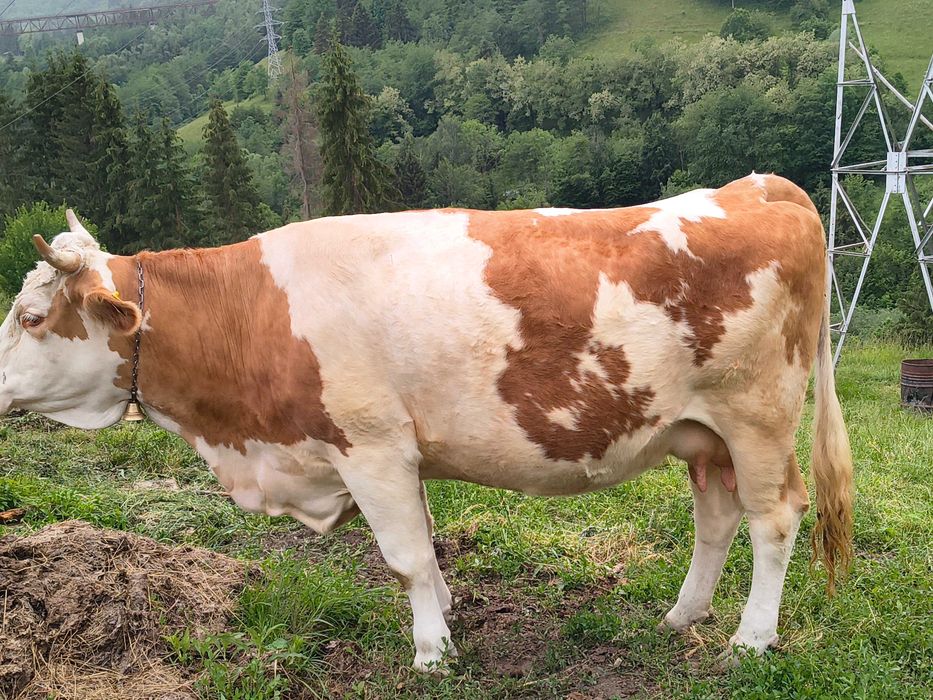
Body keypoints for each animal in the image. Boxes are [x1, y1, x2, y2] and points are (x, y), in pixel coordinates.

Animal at [0, 173, 853, 672]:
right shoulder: (399, 454)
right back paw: (683, 615)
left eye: (33, 317)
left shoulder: (369, 447)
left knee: (774, 520)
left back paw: (750, 638)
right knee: (716, 519)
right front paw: (445, 615)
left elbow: (404, 557)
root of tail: (759, 186)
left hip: (757, 415)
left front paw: (431, 653)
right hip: (698, 432)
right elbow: (430, 550)